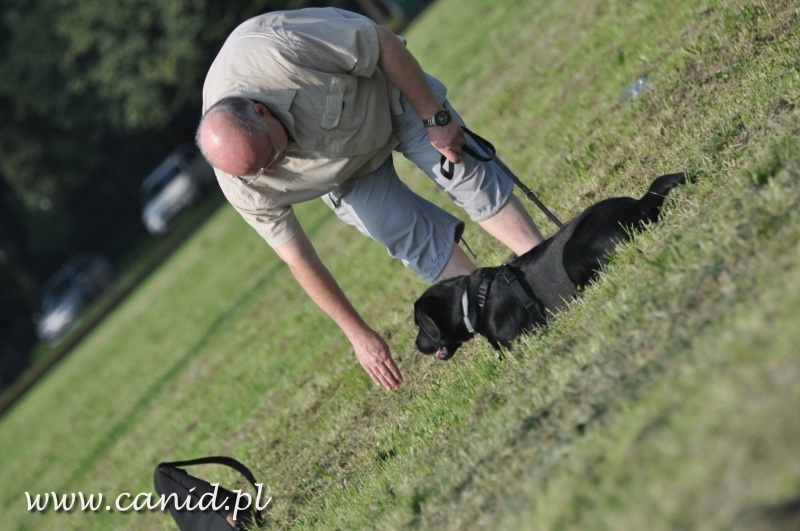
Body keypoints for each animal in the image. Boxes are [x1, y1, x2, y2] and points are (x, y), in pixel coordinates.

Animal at [414, 173, 687, 360]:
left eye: (420, 326)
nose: (416, 345)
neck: (472, 300)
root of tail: (638, 204)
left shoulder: (521, 340)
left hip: (572, 255)